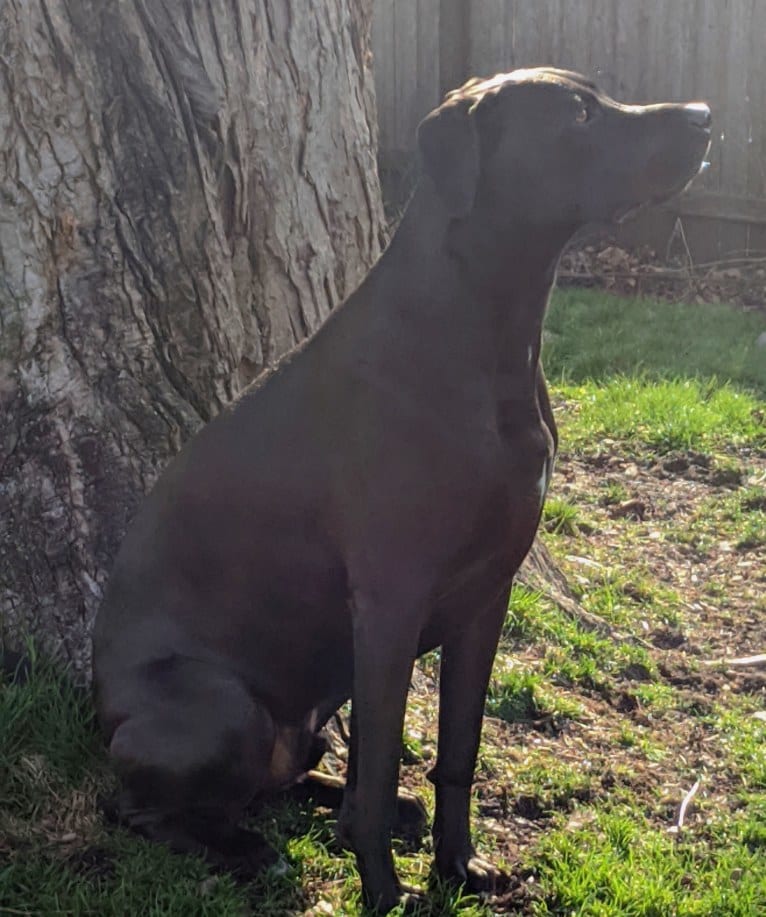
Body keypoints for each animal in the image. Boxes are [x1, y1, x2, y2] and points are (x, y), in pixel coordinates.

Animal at [91, 70, 712, 908]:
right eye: (580, 114)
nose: (704, 117)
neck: (484, 334)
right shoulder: (390, 601)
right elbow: (382, 764)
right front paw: (387, 893)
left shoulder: (485, 598)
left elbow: (455, 749)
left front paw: (459, 865)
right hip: (223, 706)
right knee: (139, 809)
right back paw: (247, 850)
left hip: (310, 714)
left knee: (289, 777)